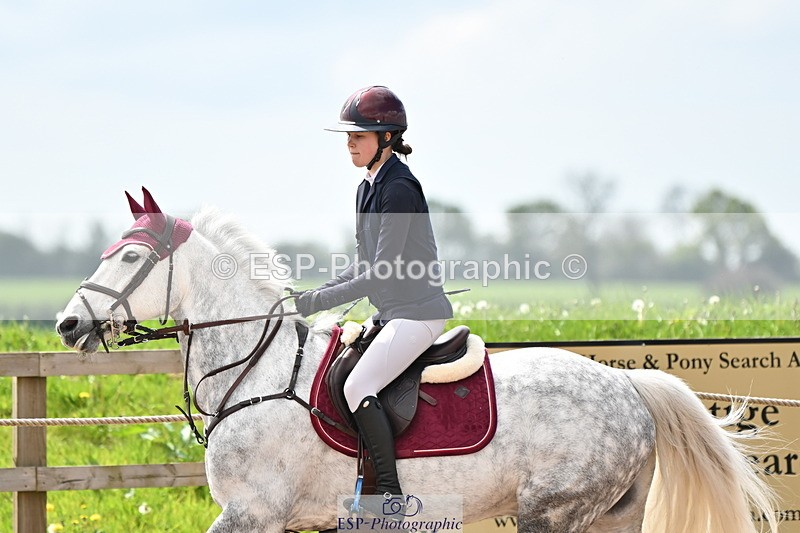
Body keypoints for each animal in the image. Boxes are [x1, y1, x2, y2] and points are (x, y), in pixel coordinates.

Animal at [56, 188, 778, 533]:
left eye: (129, 255)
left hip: (554, 510)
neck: (255, 372)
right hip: (614, 514)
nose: (66, 325)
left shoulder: (251, 512)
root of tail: (627, 386)